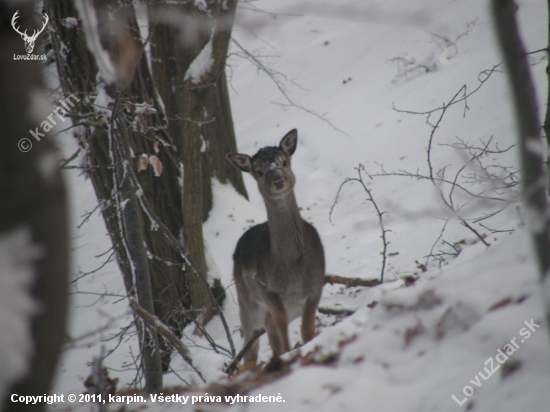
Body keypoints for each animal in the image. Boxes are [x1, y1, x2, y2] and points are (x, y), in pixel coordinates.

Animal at [226, 129, 326, 364]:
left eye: (284, 162)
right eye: (259, 171)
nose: (278, 180)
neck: (293, 276)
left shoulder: (317, 284)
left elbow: (307, 329)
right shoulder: (266, 288)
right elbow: (281, 322)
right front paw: (291, 353)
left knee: (266, 329)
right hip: (246, 300)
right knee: (250, 342)